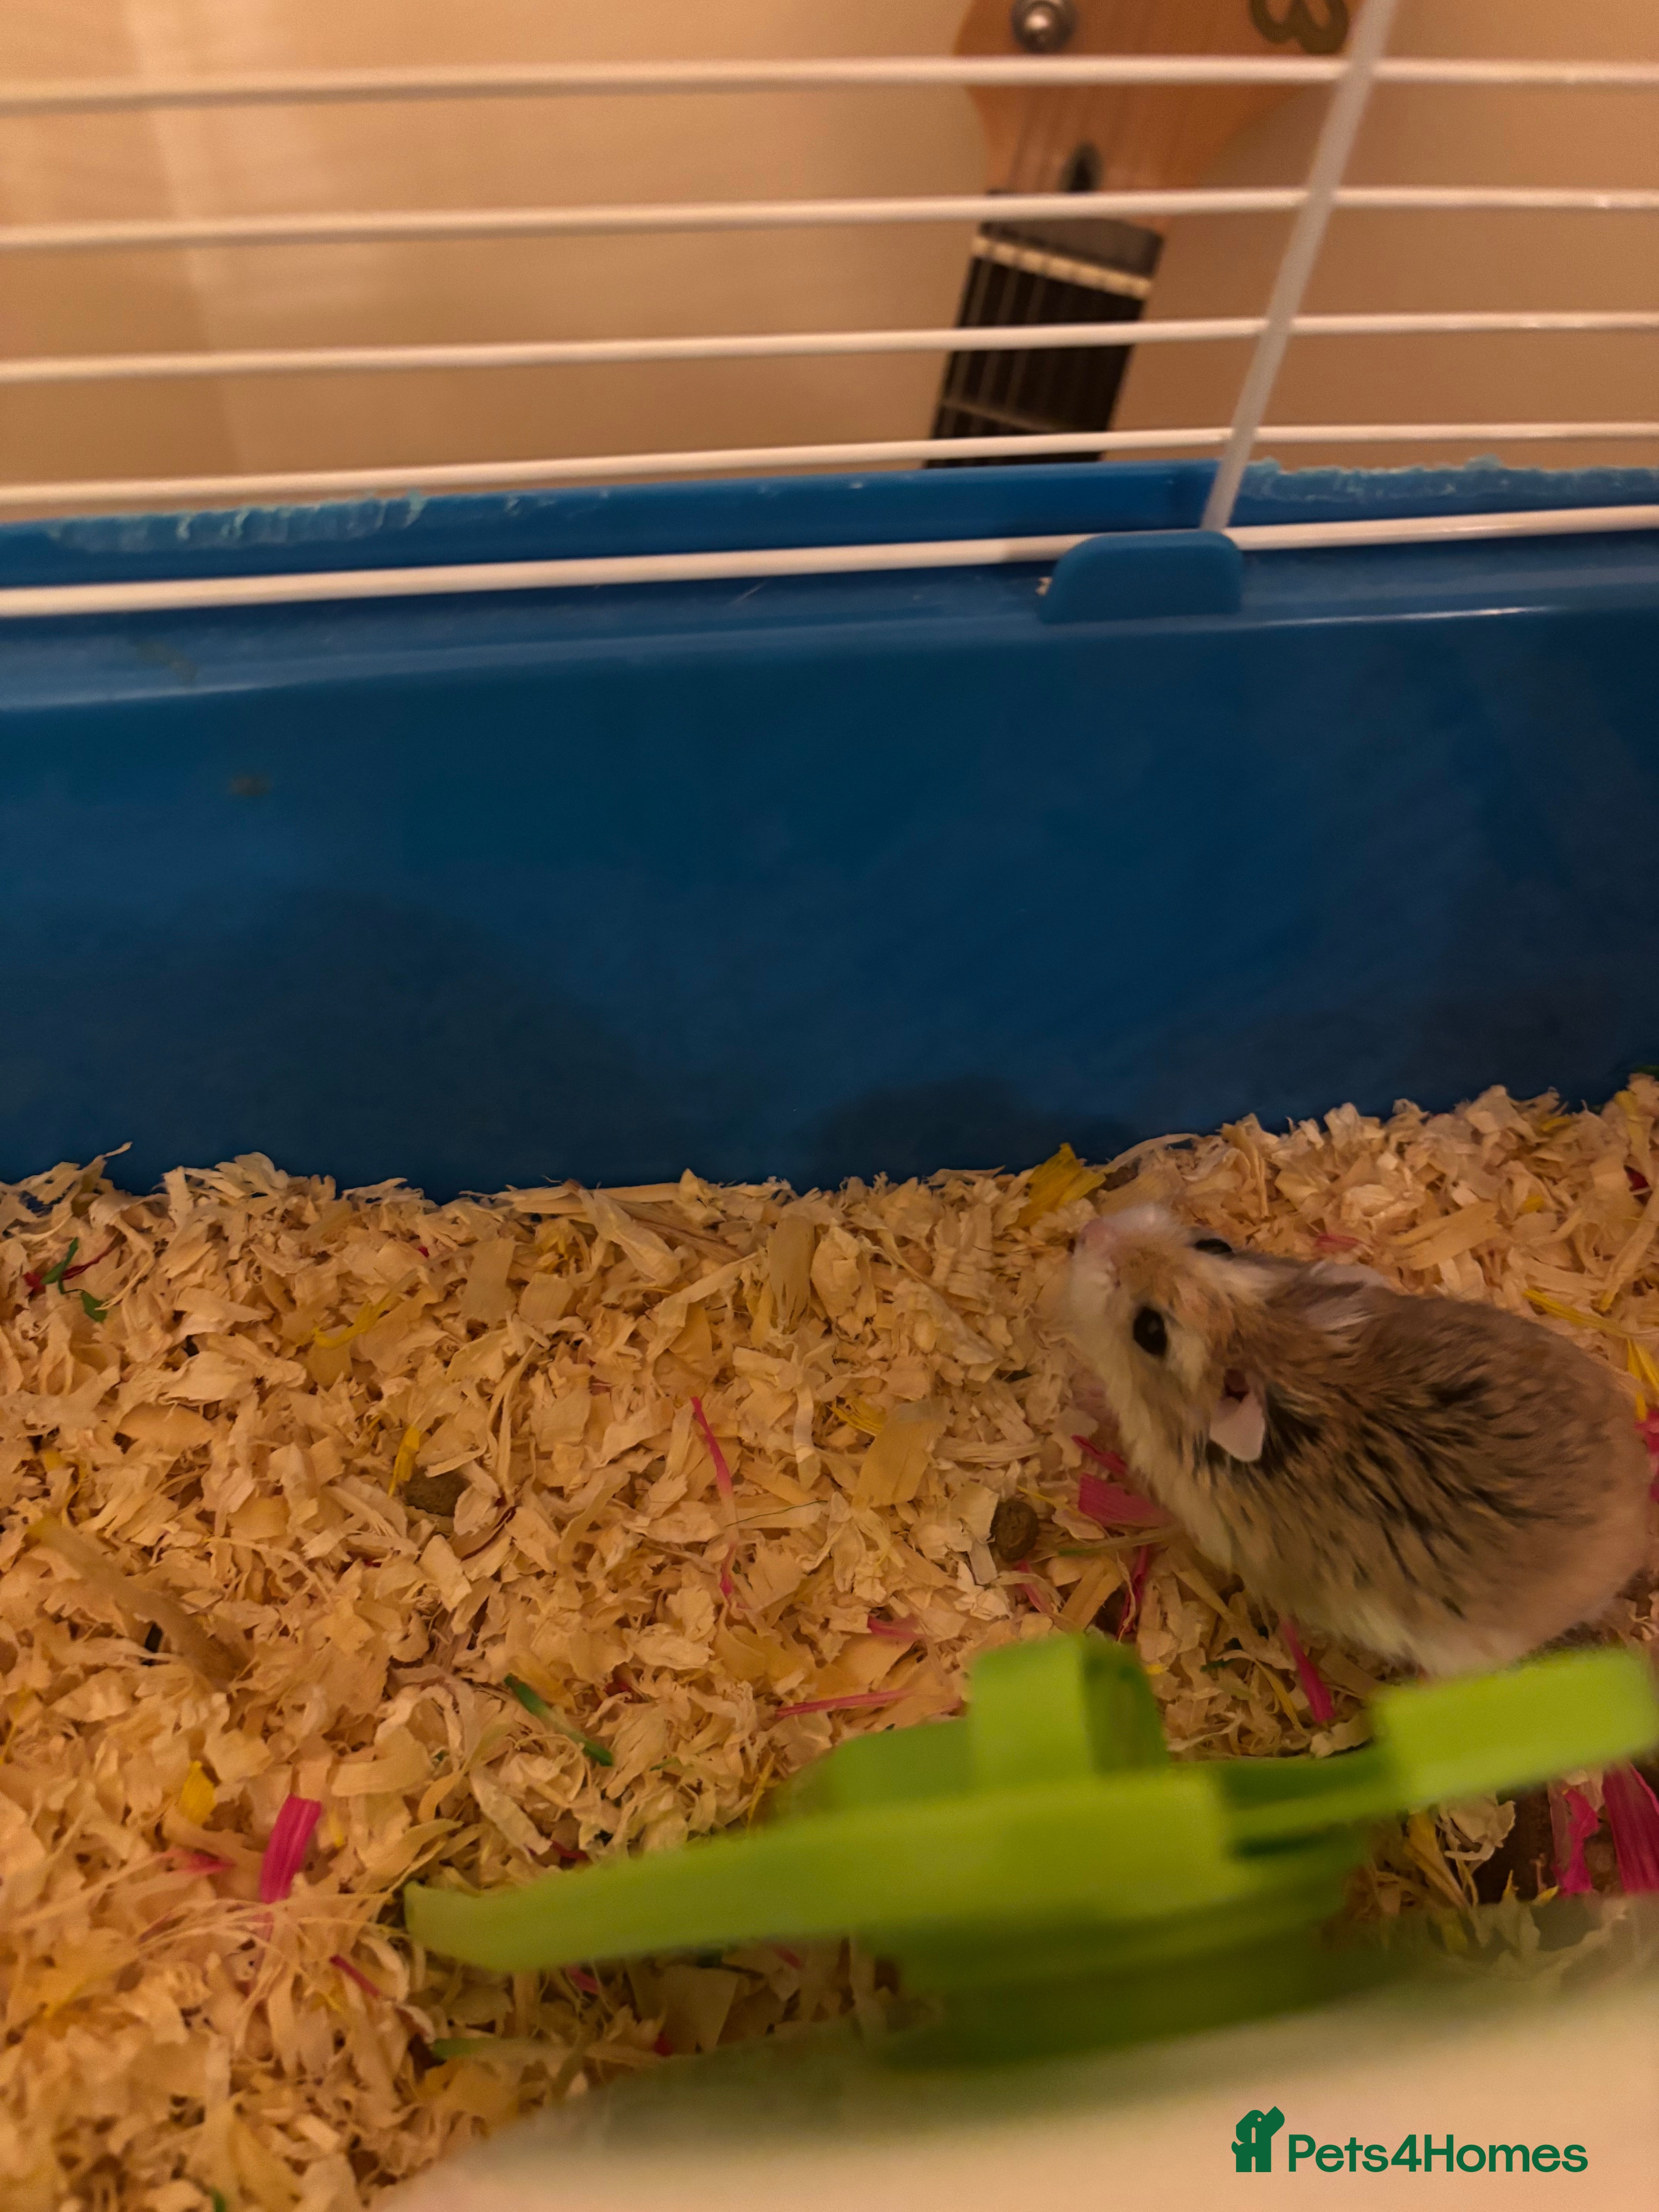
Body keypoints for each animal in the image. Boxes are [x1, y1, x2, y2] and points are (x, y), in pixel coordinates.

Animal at [1062, 1204, 1652, 1677]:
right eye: (1216, 1243)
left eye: (1151, 1331)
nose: (1085, 1231)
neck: (1282, 1355)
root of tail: (1633, 1538)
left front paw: (1085, 1396)